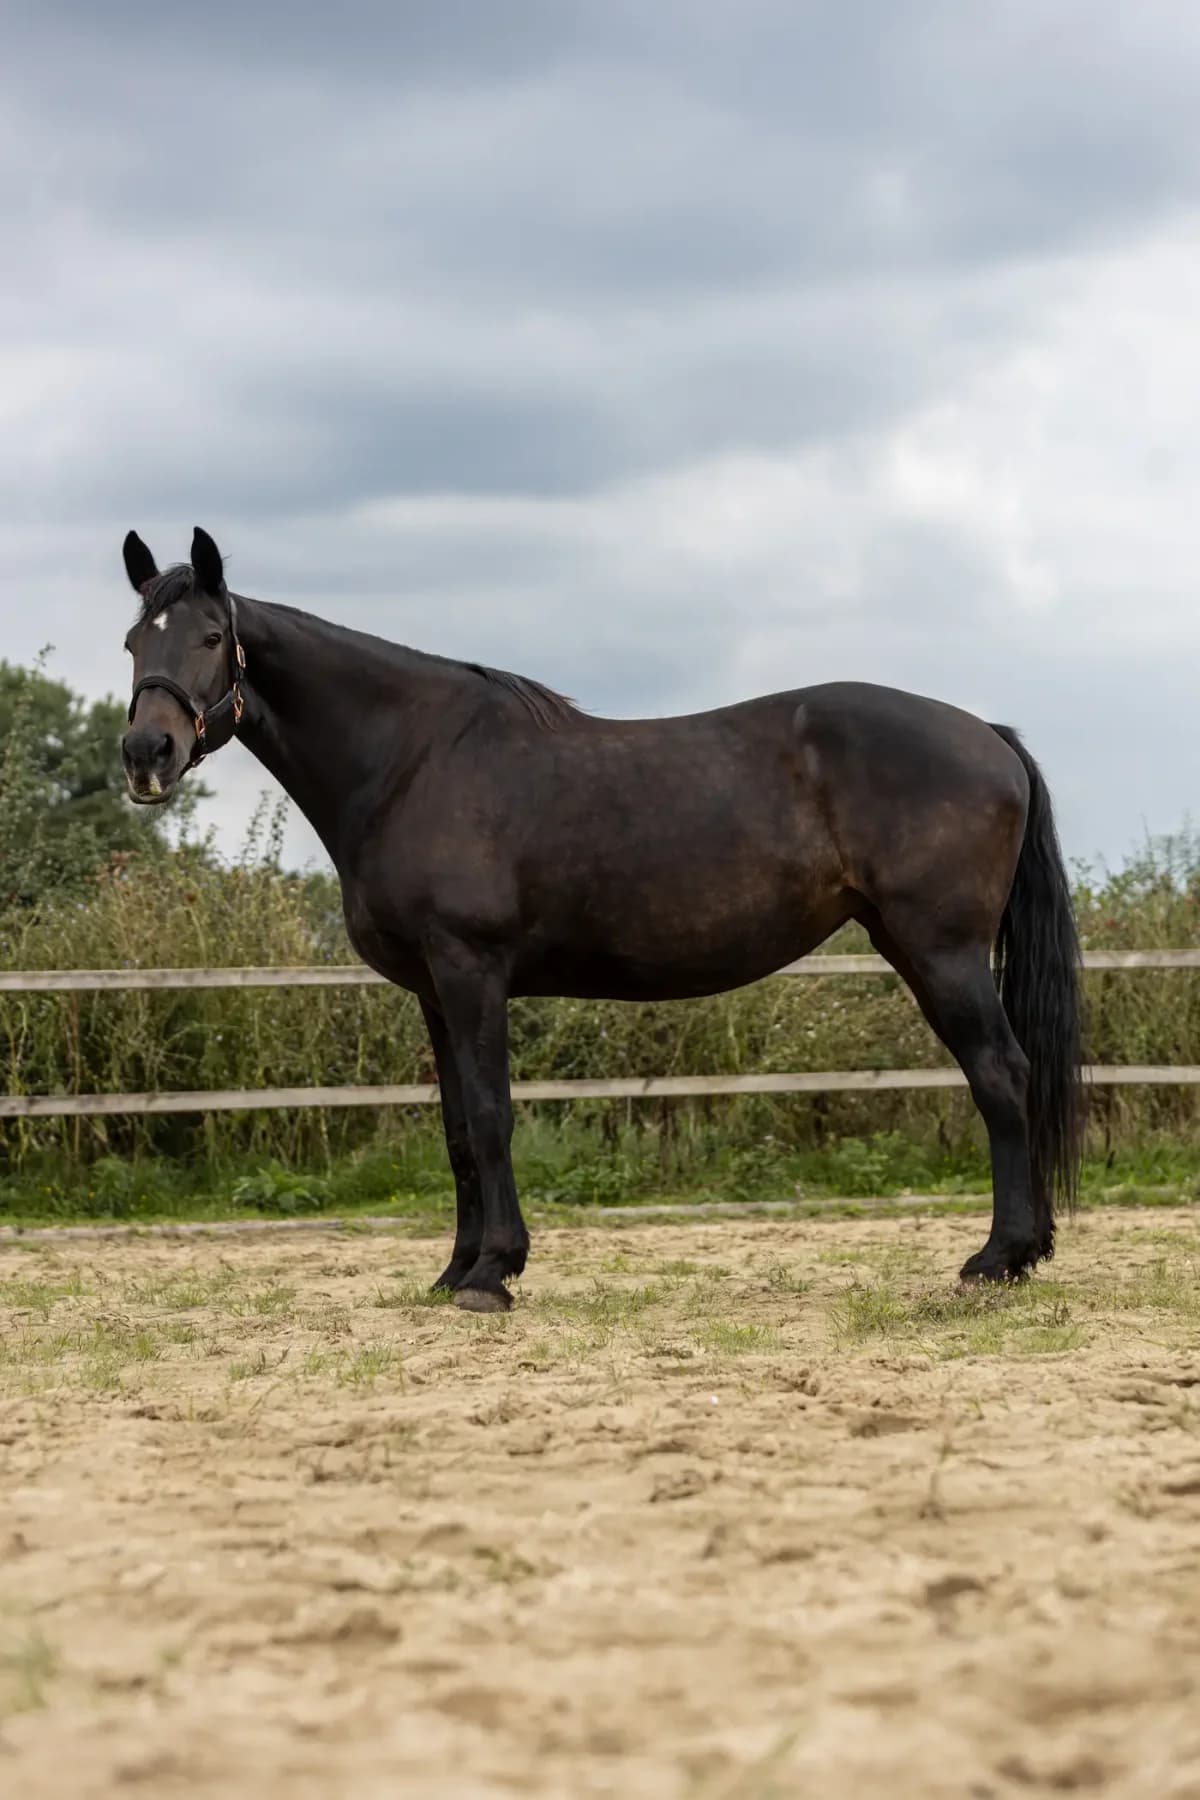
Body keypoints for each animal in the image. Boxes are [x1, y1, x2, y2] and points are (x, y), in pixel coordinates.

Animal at [118, 527, 1084, 1311]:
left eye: (212, 637)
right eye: (133, 641)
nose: (145, 753)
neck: (411, 761)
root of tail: (989, 736)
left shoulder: (471, 970)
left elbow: (492, 1114)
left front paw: (493, 1274)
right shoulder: (432, 990)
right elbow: (457, 1129)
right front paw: (454, 1270)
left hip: (941, 950)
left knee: (1001, 1076)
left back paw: (998, 1259)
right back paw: (1022, 1253)